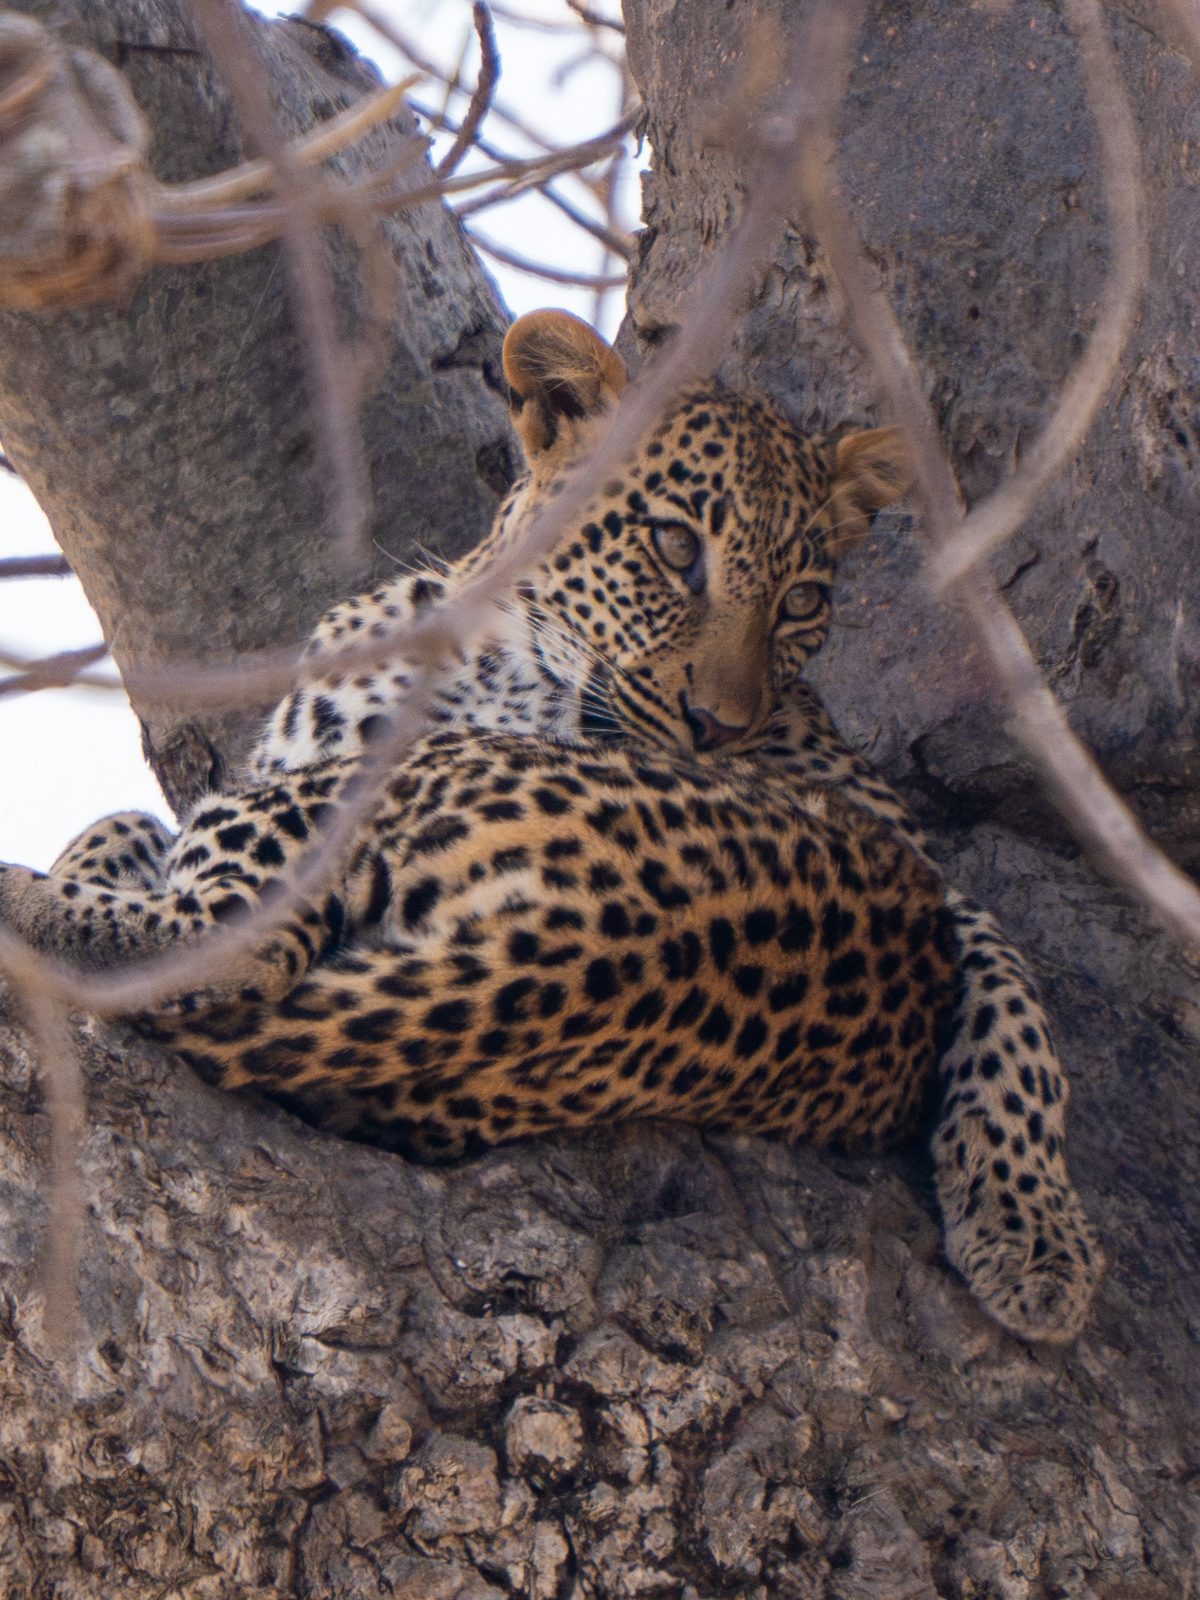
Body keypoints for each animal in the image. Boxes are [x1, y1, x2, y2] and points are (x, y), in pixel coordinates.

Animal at [1, 309, 1102, 1344]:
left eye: (799, 601)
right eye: (674, 547)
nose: (718, 726)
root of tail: (591, 955)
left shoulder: (909, 852)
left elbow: (1020, 1028)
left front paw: (1034, 1239)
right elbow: (121, 824)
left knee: (227, 944)